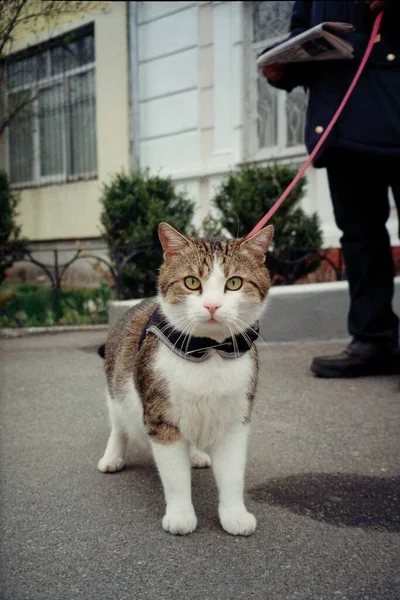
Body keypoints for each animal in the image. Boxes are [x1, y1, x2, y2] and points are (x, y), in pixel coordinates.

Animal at [99, 223, 276, 536]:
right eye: (192, 282)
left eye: (234, 283)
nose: (212, 306)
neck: (209, 350)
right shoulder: (161, 418)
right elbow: (174, 475)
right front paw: (181, 514)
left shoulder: (236, 419)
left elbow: (232, 474)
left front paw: (234, 514)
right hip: (116, 392)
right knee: (119, 427)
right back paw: (112, 457)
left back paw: (195, 454)